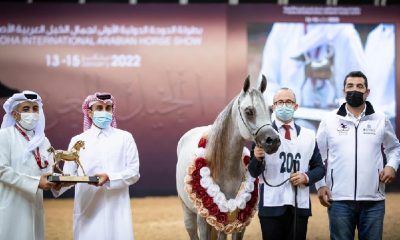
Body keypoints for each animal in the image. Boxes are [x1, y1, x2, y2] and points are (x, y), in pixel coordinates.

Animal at [177, 76, 280, 239]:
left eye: (270, 110)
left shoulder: (239, 223)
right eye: (249, 111)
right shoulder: (203, 220)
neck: (226, 170)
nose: (273, 140)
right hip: (188, 212)